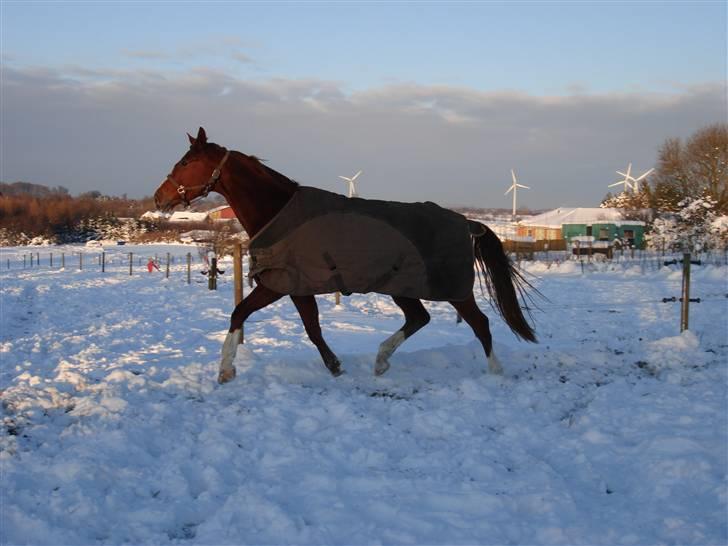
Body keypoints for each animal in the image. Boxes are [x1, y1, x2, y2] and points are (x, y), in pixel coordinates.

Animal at [155, 127, 536, 382]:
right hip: (402, 288)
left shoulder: (277, 284)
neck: (280, 213)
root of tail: (466, 222)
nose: (159, 197)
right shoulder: (298, 288)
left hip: (452, 289)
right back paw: (381, 361)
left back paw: (495, 371)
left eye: (186, 161)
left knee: (480, 323)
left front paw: (226, 369)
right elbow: (312, 327)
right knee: (419, 318)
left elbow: (239, 313)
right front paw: (335, 366)